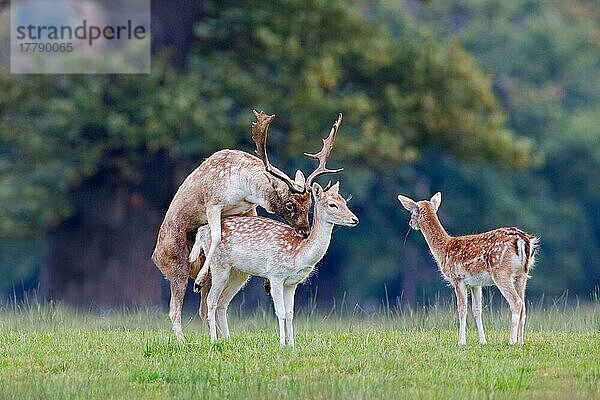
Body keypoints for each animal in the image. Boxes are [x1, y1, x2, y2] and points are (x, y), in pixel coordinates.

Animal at [151, 111, 342, 342]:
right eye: (289, 204)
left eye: (309, 205)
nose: (305, 231)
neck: (243, 187)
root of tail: (155, 257)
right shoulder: (213, 202)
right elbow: (216, 235)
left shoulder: (247, 209)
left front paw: (267, 283)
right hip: (176, 267)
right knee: (175, 310)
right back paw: (184, 338)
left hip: (232, 274)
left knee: (208, 307)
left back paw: (222, 336)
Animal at [189, 181, 356, 346]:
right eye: (332, 204)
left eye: (344, 201)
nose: (355, 219)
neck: (298, 252)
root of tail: (202, 231)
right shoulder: (275, 275)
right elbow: (280, 312)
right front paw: (282, 344)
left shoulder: (291, 283)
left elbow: (290, 314)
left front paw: (292, 345)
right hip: (219, 266)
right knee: (211, 301)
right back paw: (213, 340)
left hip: (238, 273)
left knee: (222, 302)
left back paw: (227, 340)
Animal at [398, 192, 540, 346]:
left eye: (412, 212)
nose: (410, 223)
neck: (443, 249)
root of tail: (525, 241)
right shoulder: (475, 283)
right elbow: (477, 310)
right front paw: (483, 341)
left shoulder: (457, 278)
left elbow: (462, 309)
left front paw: (461, 341)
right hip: (522, 274)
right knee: (524, 306)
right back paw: (521, 341)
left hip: (501, 272)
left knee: (516, 302)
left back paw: (511, 340)